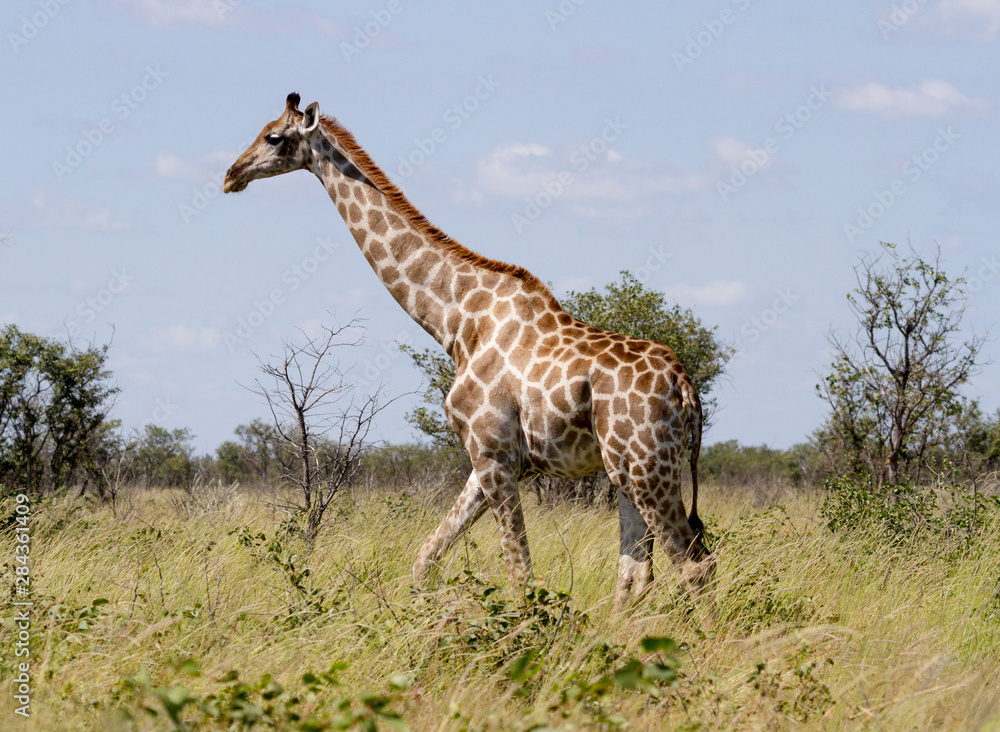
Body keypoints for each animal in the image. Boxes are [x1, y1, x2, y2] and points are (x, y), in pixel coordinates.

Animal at [223, 93, 715, 606]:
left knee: (694, 566)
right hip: (625, 470)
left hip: (647, 466)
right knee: (637, 573)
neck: (457, 323)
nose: (230, 174)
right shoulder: (489, 459)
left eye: (273, 137)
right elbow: (425, 562)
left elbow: (520, 576)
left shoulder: (493, 453)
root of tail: (685, 387)